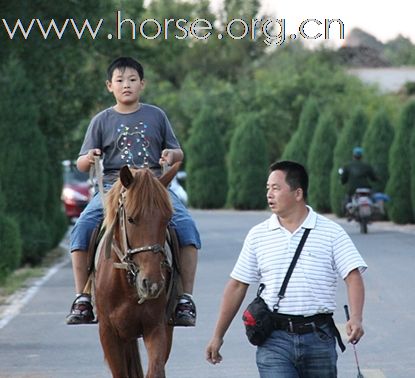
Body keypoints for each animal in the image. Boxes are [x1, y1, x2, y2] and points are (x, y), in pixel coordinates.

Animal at [96, 164, 182, 378]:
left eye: (167, 219)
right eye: (131, 219)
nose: (152, 284)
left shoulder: (157, 327)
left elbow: (156, 370)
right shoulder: (108, 333)